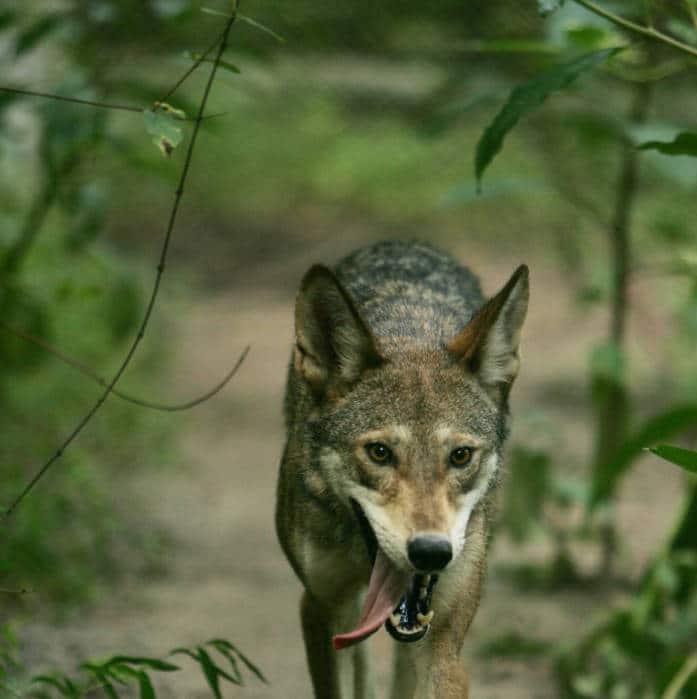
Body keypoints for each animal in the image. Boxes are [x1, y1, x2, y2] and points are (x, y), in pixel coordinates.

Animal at [276, 240, 529, 698]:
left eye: (460, 456)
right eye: (379, 453)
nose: (431, 552)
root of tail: (404, 243)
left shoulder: (444, 643)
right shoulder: (320, 607)